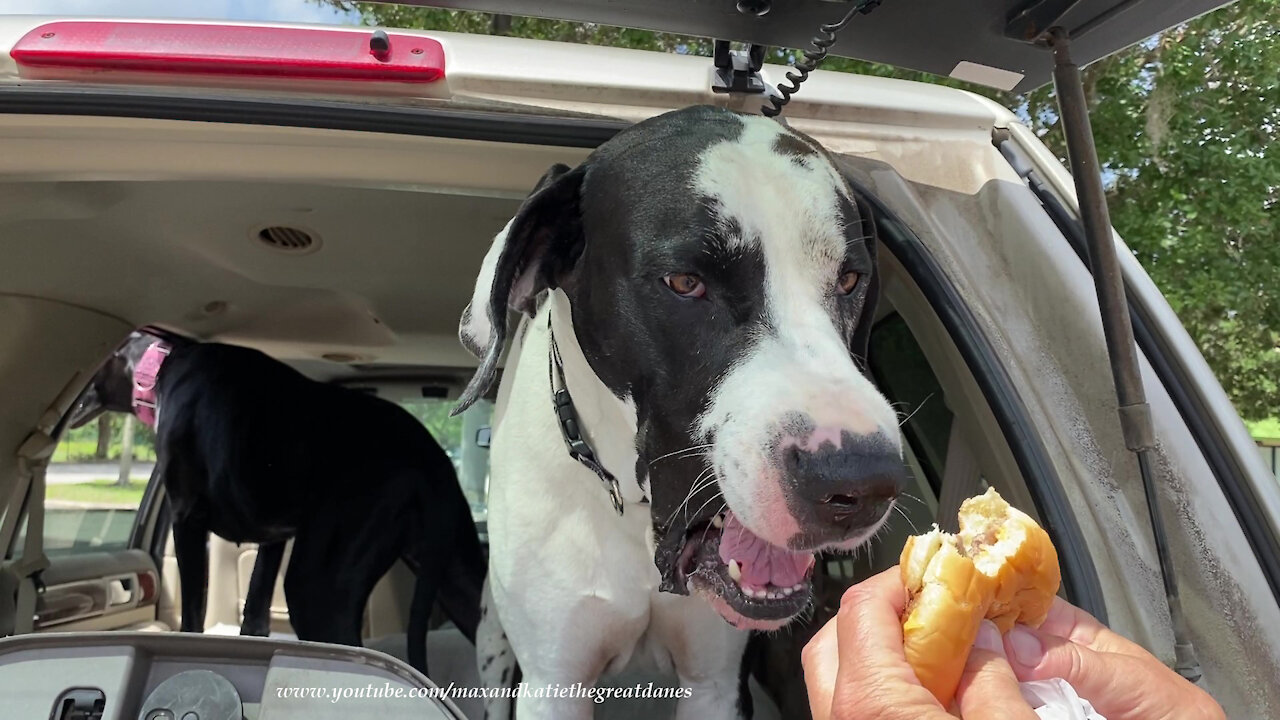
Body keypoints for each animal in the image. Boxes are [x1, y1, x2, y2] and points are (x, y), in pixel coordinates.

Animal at [72, 330, 486, 671]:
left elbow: (192, 616)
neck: (157, 366)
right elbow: (254, 618)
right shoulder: (272, 540)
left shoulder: (186, 518)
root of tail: (430, 455)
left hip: (316, 585)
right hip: (458, 575)